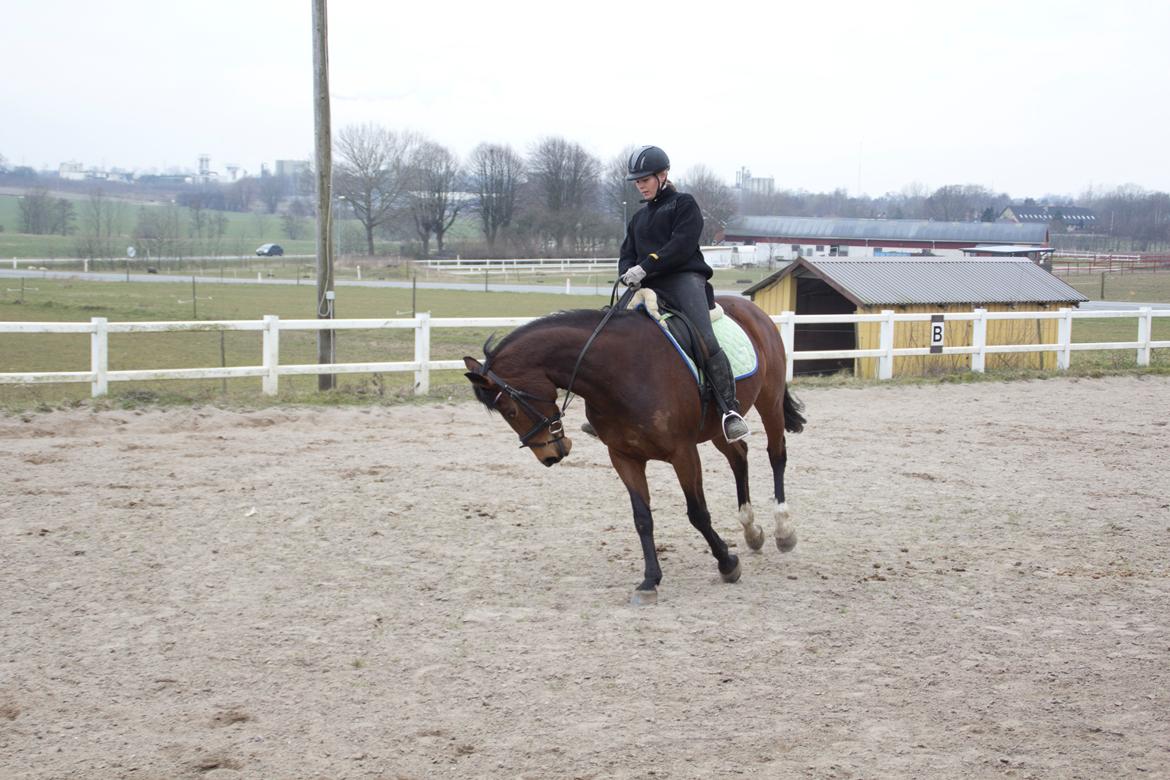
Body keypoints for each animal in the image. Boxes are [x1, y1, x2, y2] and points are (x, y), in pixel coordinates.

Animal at [463, 295, 804, 608]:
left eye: (510, 409)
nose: (550, 455)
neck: (619, 372)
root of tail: (751, 307)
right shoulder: (623, 457)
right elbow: (642, 518)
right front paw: (650, 581)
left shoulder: (683, 453)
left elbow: (697, 513)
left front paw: (727, 563)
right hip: (718, 428)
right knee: (739, 457)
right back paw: (751, 530)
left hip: (770, 400)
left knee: (776, 455)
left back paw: (783, 529)